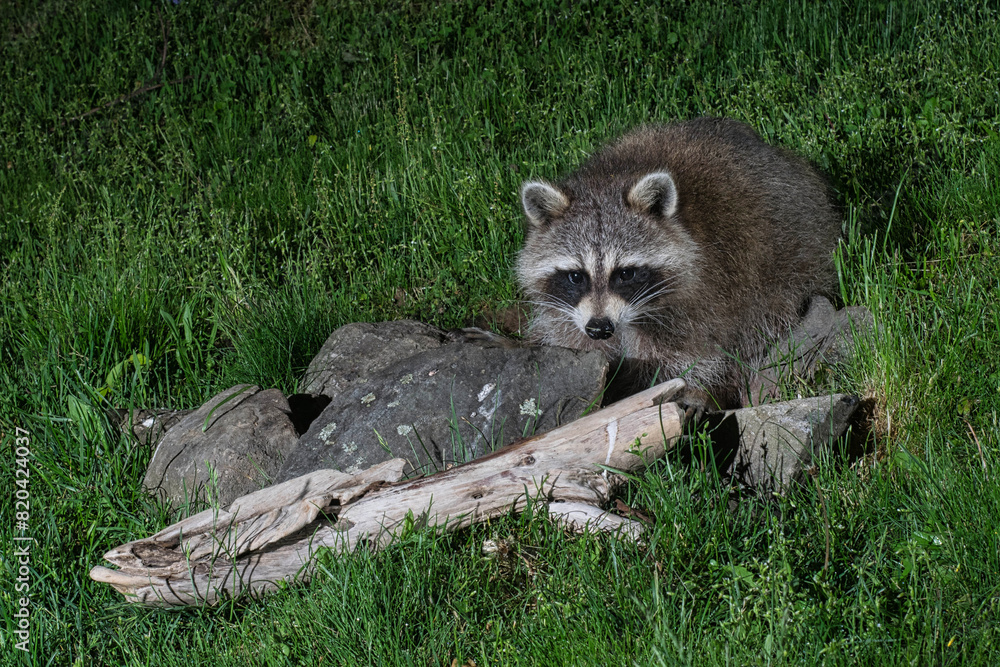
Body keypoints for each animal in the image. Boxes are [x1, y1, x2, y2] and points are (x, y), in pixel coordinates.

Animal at [516, 117, 841, 410]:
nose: (600, 327)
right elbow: (576, 342)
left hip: (789, 262)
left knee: (760, 325)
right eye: (576, 276)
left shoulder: (706, 294)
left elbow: (692, 355)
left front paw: (687, 393)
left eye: (625, 273)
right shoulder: (570, 311)